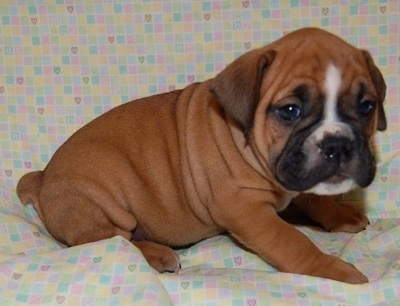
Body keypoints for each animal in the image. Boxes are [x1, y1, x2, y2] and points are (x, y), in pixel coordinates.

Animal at [17, 27, 386, 284]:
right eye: (290, 111)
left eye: (367, 106)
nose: (337, 144)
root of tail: (42, 180)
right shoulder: (247, 210)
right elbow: (293, 242)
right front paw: (333, 269)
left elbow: (315, 198)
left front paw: (341, 214)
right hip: (102, 196)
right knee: (109, 240)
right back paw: (159, 255)